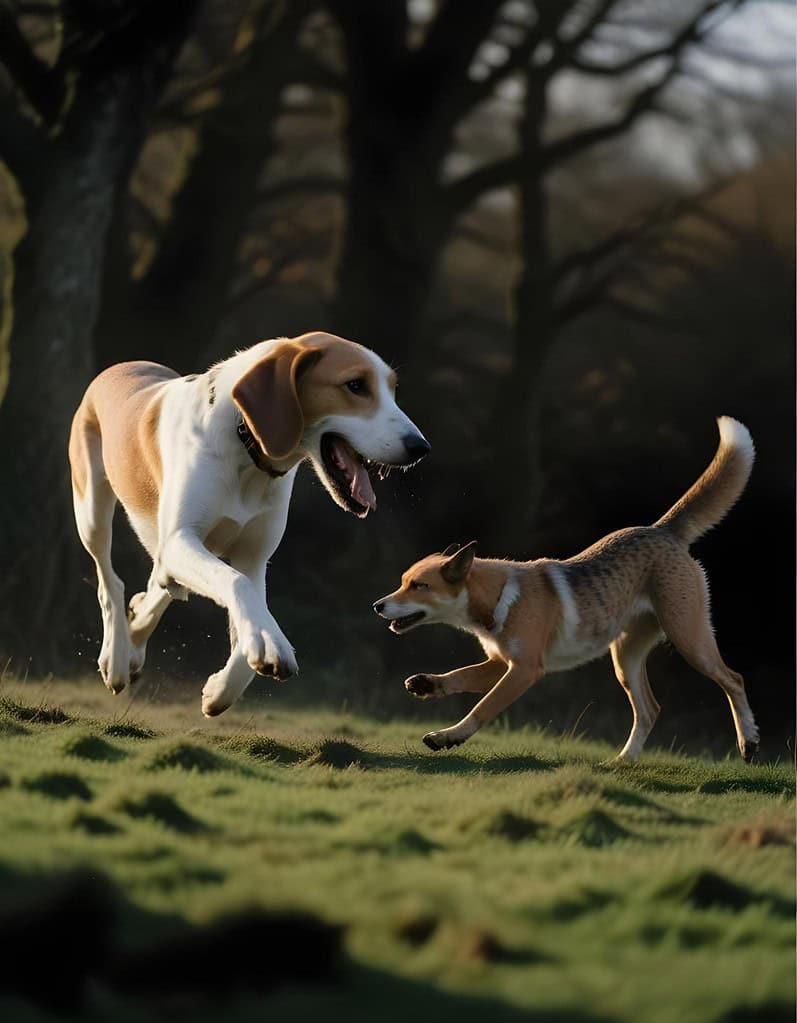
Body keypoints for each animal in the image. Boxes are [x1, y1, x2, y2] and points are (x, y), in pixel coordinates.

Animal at [373, 417, 759, 761]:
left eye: (419, 585)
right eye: (403, 582)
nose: (378, 605)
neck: (498, 600)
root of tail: (663, 529)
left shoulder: (525, 668)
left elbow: (482, 707)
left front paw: (447, 737)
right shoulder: (501, 662)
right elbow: (459, 677)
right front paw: (426, 685)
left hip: (688, 638)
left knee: (734, 679)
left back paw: (748, 742)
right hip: (626, 657)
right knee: (650, 709)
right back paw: (622, 762)